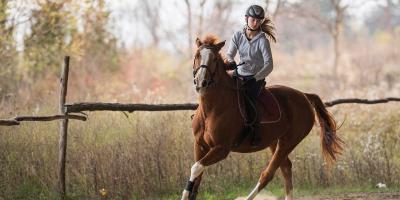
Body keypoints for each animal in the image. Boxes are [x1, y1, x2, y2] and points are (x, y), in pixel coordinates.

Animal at [180, 35, 342, 200]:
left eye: (214, 59)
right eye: (197, 56)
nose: (201, 82)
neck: (211, 109)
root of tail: (304, 95)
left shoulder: (221, 148)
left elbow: (196, 168)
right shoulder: (200, 145)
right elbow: (197, 177)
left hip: (289, 142)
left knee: (268, 174)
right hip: (275, 141)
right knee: (286, 168)